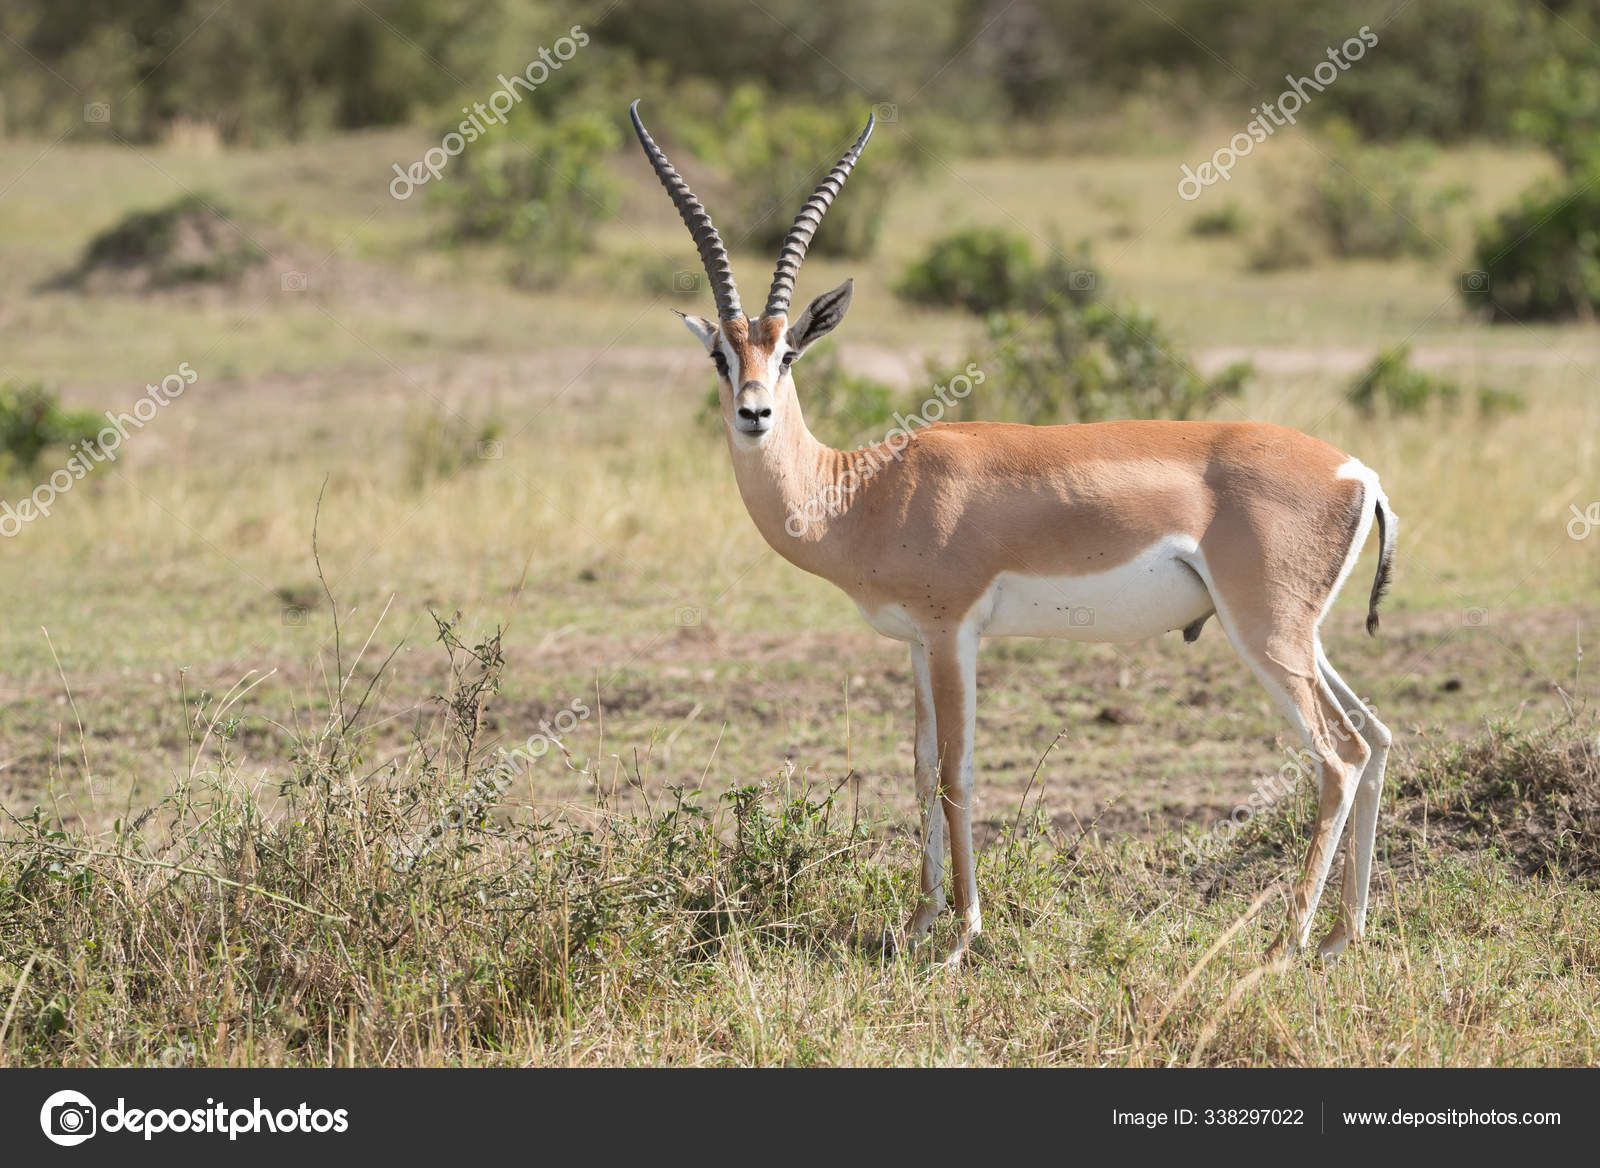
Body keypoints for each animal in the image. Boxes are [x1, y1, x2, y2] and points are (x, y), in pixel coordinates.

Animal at [630, 101, 1397, 965]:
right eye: (721, 356)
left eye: (789, 351)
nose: (754, 413)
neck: (864, 490)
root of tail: (1357, 473)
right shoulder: (914, 641)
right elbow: (918, 765)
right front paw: (917, 924)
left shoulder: (952, 631)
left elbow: (955, 772)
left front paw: (961, 937)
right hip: (1300, 635)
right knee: (1375, 738)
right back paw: (1341, 935)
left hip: (1265, 631)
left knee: (1337, 754)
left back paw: (1284, 942)